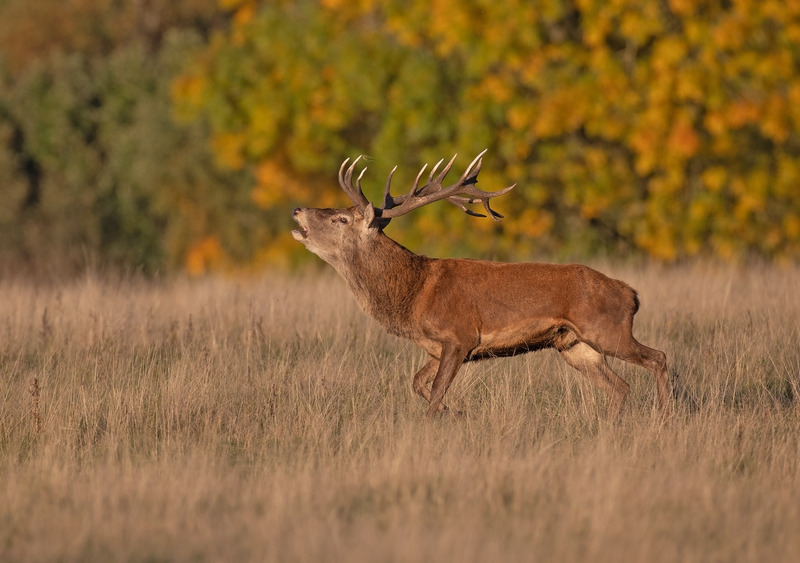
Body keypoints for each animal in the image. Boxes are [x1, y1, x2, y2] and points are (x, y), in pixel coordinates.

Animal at [291, 150, 674, 419]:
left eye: (341, 219)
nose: (297, 210)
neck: (412, 294)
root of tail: (632, 294)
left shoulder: (460, 335)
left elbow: (434, 394)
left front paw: (441, 418)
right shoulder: (435, 347)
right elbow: (418, 384)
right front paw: (458, 412)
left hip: (606, 329)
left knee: (658, 357)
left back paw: (664, 417)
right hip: (574, 345)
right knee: (620, 386)